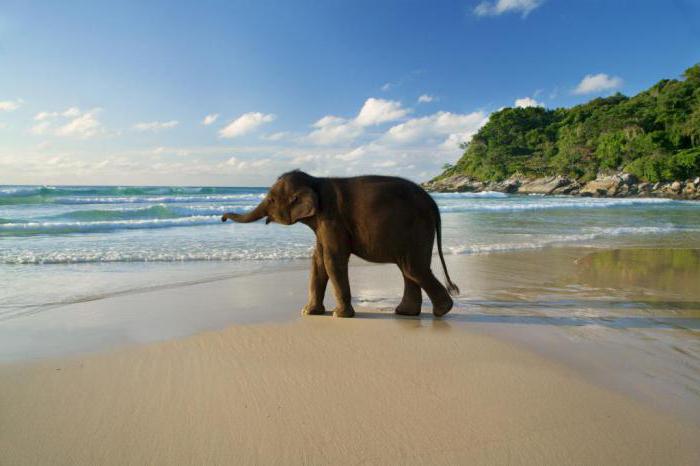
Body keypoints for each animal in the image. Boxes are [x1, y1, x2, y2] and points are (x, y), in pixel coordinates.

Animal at [220, 169, 460, 318]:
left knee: (413, 269)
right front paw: (309, 312)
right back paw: (406, 313)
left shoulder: (332, 219)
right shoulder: (322, 224)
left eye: (270, 200)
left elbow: (332, 259)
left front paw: (338, 315)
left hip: (416, 230)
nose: (222, 218)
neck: (315, 180)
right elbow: (318, 260)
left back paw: (441, 311)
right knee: (408, 270)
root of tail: (432, 203)